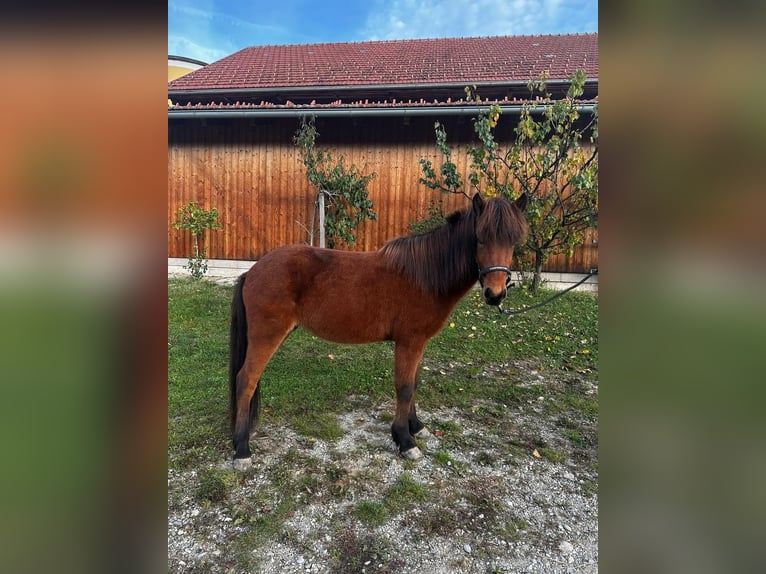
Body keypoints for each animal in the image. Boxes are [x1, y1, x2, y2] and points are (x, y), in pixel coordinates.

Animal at [229, 192, 528, 468]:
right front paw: (405, 440)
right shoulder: (409, 342)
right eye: (480, 238)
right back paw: (242, 449)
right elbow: (404, 387)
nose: (495, 294)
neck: (425, 276)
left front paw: (416, 426)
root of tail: (252, 271)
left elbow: (414, 383)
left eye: (513, 241)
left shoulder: (418, 343)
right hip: (267, 336)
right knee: (246, 380)